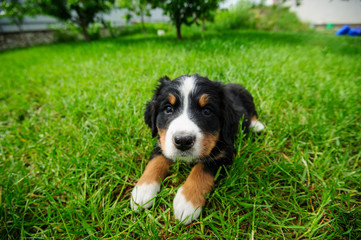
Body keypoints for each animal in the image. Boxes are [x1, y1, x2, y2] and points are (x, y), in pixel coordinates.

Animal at [130, 74, 264, 224]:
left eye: (207, 111)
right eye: (168, 109)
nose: (183, 141)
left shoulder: (226, 152)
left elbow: (201, 169)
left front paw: (187, 202)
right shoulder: (162, 142)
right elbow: (155, 162)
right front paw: (143, 190)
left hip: (249, 99)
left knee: (253, 113)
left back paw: (257, 125)